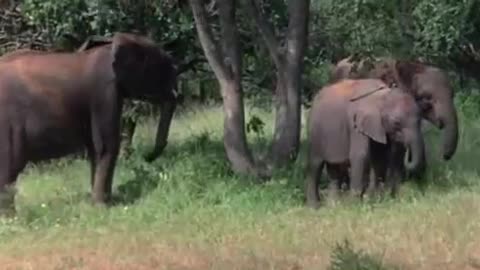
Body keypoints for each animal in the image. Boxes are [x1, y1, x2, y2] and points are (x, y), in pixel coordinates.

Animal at [0, 31, 178, 214]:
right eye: (162, 67)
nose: (147, 157)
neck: (111, 45)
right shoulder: (104, 92)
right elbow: (106, 145)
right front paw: (103, 207)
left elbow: (96, 147)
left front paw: (100, 203)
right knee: (8, 171)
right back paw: (11, 218)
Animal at [306, 78, 426, 209]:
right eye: (396, 123)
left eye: (420, 119)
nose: (407, 149)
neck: (381, 96)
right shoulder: (356, 125)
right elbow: (360, 156)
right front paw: (354, 205)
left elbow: (382, 158)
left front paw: (378, 200)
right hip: (315, 132)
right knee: (315, 165)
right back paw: (314, 207)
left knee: (334, 171)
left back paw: (333, 206)